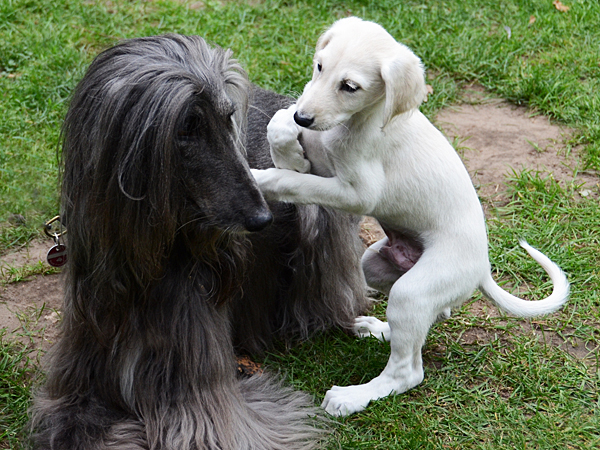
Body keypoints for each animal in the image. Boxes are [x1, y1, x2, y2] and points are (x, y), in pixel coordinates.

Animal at [30, 34, 370, 450]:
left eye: (227, 119)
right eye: (187, 127)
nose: (263, 219)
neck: (148, 268)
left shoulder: (201, 401)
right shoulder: (82, 373)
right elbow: (70, 427)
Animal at [251, 18, 568, 418]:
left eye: (350, 87)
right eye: (319, 66)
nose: (304, 118)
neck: (355, 122)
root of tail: (482, 268)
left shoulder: (357, 193)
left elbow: (295, 182)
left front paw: (261, 179)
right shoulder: (317, 155)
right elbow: (278, 126)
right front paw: (289, 151)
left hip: (412, 291)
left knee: (408, 371)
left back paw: (352, 397)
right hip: (375, 265)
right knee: (427, 320)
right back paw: (378, 329)